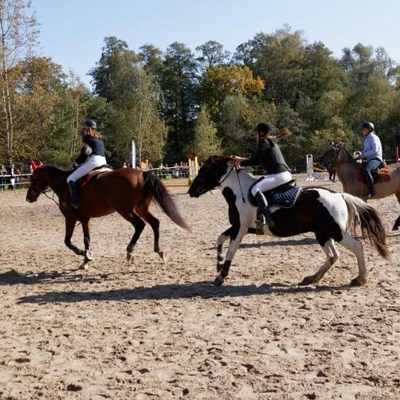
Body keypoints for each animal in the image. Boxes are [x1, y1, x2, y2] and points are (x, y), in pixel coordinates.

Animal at [26, 162, 191, 268]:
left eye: (33, 178)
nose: (28, 197)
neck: (64, 185)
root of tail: (142, 173)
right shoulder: (85, 219)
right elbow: (86, 239)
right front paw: (86, 259)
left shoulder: (70, 218)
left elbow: (68, 241)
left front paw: (83, 254)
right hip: (141, 208)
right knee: (155, 223)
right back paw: (159, 250)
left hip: (125, 210)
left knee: (140, 225)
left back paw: (130, 251)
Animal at [189, 156, 390, 288]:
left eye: (205, 170)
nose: (191, 191)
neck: (239, 192)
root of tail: (339, 195)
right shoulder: (238, 227)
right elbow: (220, 239)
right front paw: (218, 263)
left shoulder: (241, 228)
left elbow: (232, 250)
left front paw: (221, 276)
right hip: (322, 233)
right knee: (333, 256)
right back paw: (312, 278)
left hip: (335, 231)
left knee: (357, 247)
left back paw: (360, 278)